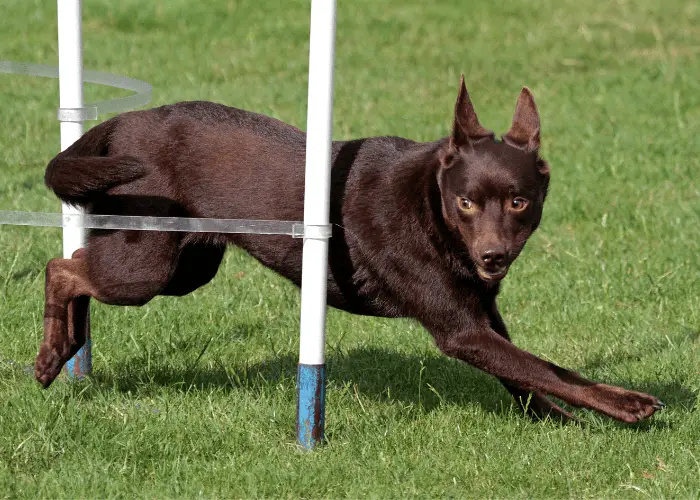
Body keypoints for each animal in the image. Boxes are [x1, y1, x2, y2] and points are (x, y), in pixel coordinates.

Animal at [37, 76, 660, 424]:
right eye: (465, 202)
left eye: (519, 202)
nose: (492, 259)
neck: (428, 206)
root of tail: (124, 120)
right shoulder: (461, 330)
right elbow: (544, 368)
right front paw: (627, 406)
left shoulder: (483, 316)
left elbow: (532, 369)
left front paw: (550, 416)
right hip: (148, 263)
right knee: (61, 267)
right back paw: (51, 355)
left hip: (188, 266)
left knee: (79, 267)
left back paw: (70, 348)